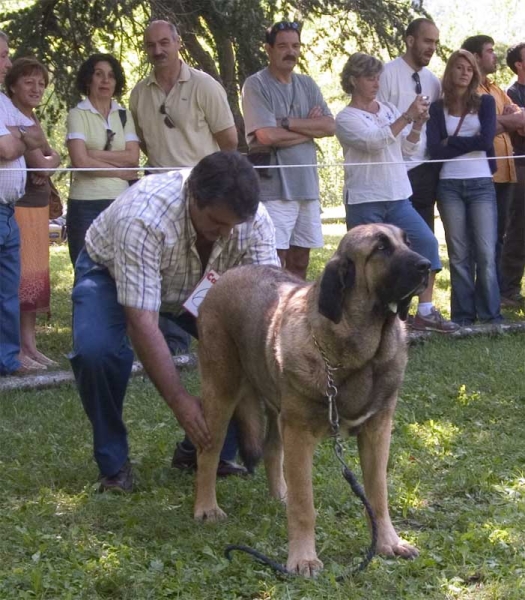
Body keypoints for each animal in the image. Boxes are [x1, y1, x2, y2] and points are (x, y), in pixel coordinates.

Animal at [193, 224, 430, 576]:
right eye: (381, 248)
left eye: (407, 241)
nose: (427, 266)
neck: (360, 354)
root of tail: (228, 275)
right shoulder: (300, 432)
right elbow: (304, 504)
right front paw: (303, 559)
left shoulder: (377, 429)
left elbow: (378, 493)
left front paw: (388, 542)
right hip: (221, 391)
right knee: (208, 452)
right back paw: (206, 508)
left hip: (277, 407)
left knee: (271, 449)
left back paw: (280, 494)